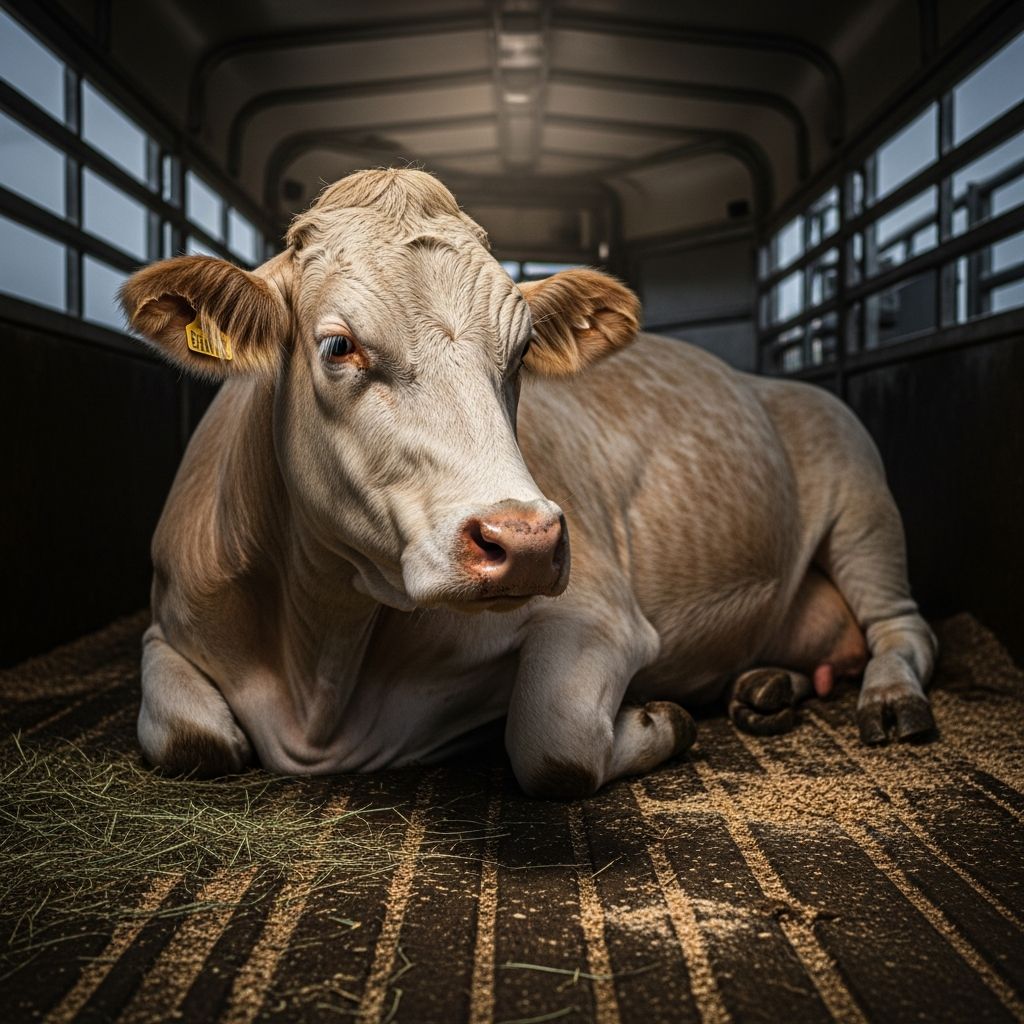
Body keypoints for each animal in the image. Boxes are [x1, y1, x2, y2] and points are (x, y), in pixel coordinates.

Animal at [118, 168, 936, 798]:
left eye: (521, 353)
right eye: (338, 346)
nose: (526, 541)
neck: (319, 673)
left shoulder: (600, 613)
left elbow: (553, 743)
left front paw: (663, 719)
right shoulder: (168, 621)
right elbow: (189, 738)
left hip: (864, 503)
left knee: (901, 625)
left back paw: (891, 699)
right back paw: (766, 689)